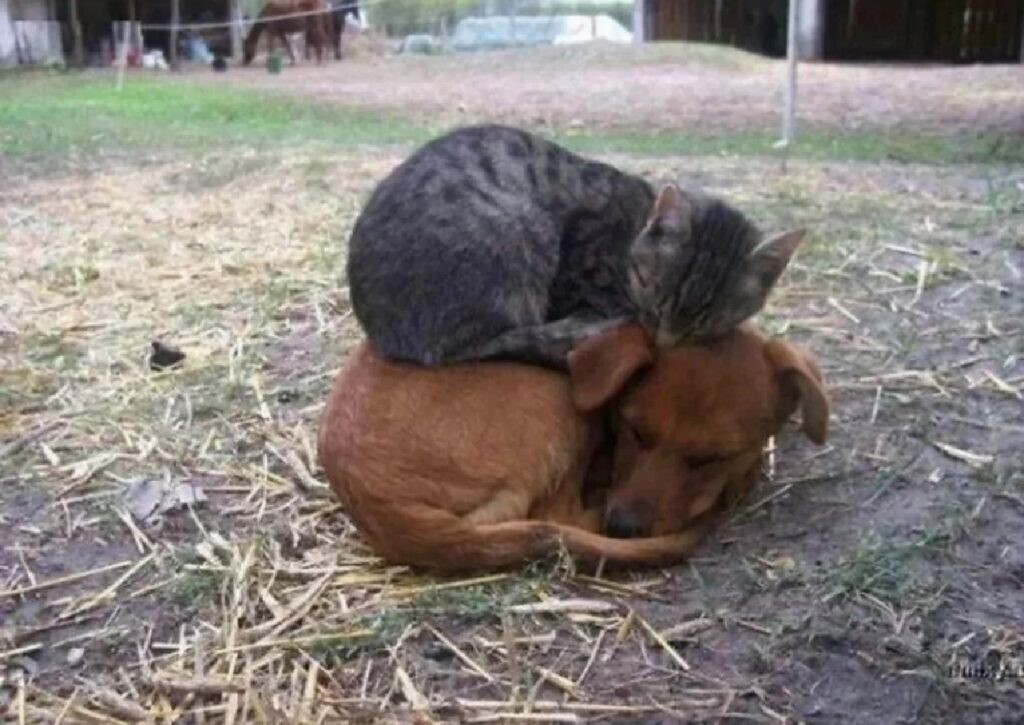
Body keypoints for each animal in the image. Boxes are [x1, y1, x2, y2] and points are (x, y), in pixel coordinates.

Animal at [315, 323, 827, 573]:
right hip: (554, 395)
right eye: (634, 430)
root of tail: (383, 507)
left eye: (712, 458)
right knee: (559, 515)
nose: (624, 527)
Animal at [348, 123, 802, 368]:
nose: (665, 343)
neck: (634, 228)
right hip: (517, 229)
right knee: (481, 347)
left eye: (706, 322)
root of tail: (384, 335)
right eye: (655, 300)